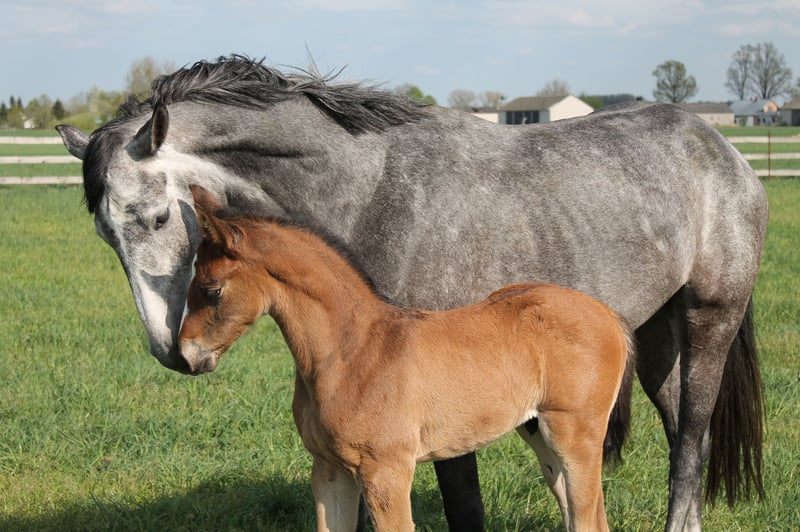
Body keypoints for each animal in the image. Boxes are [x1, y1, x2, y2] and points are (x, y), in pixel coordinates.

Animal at [180, 185, 636, 532]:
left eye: (211, 288)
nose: (186, 355)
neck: (350, 353)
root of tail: (608, 315)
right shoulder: (328, 471)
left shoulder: (387, 473)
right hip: (538, 433)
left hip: (575, 436)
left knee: (588, 518)